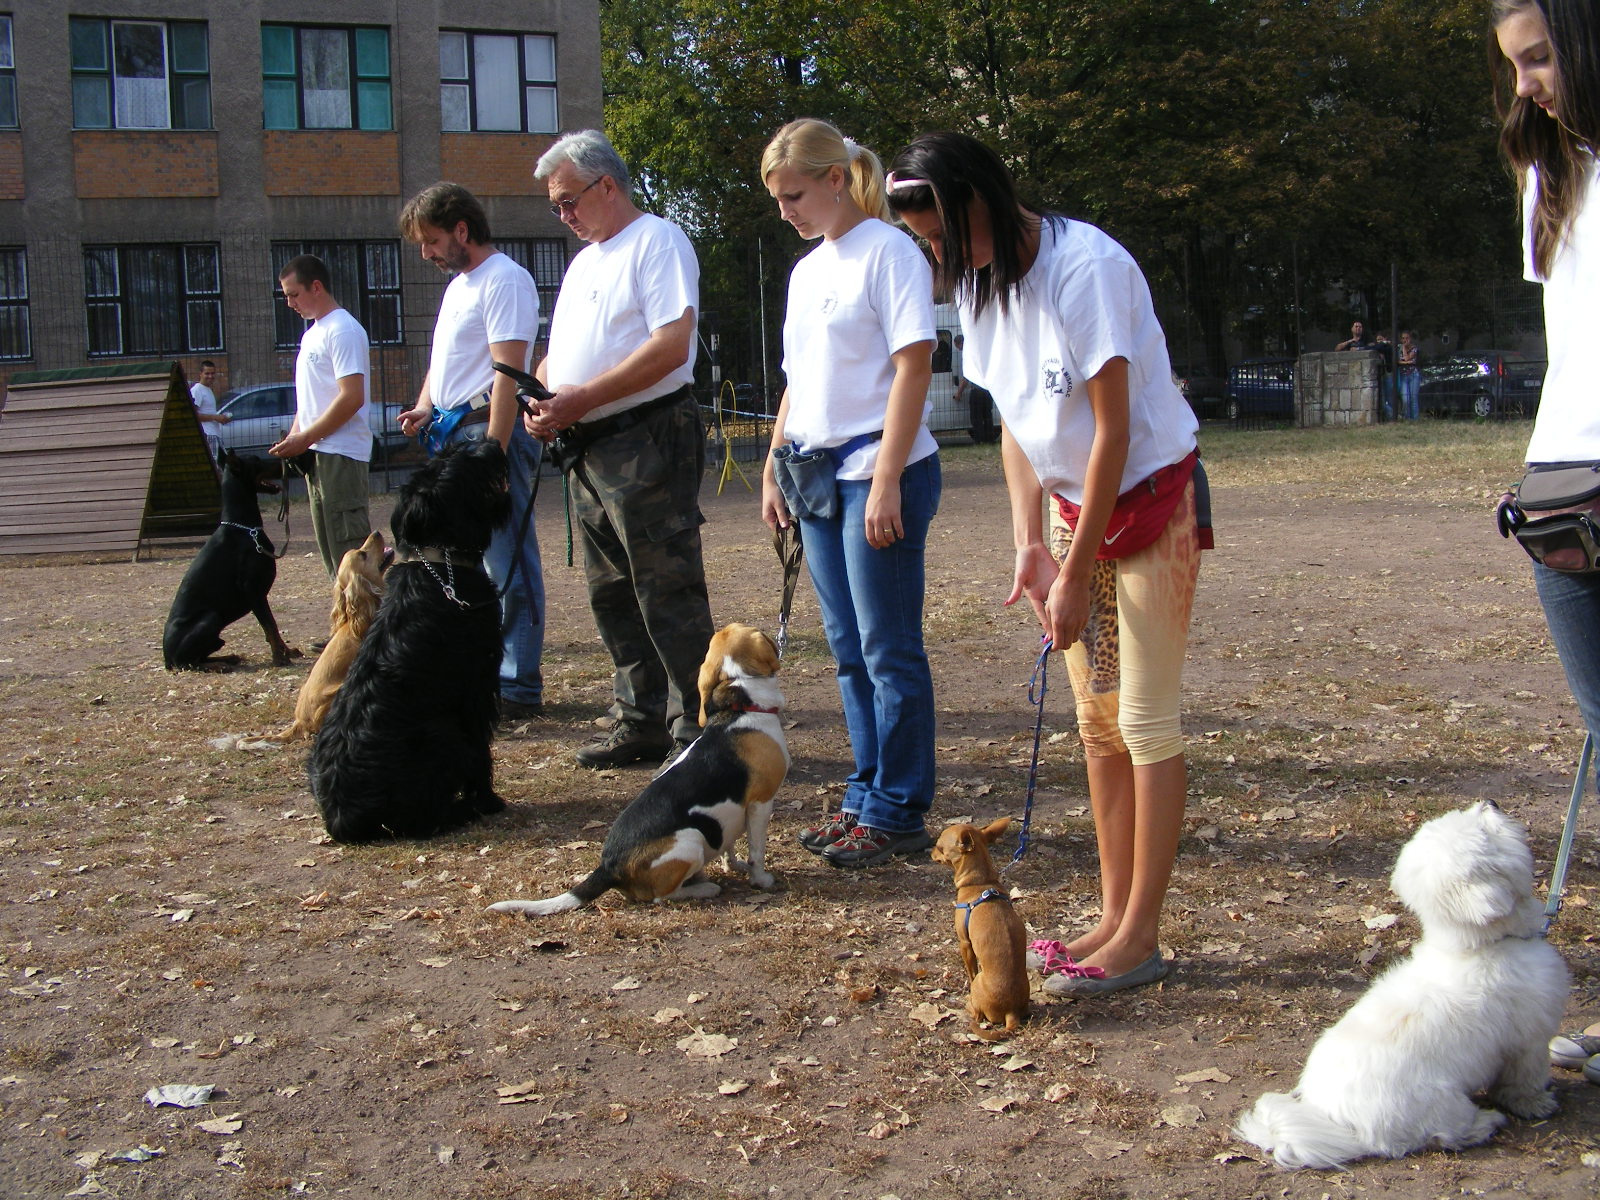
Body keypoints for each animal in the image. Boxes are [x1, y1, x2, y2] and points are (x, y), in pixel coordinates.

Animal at [163, 454, 300, 672]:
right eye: (257, 461)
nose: (285, 463)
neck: (245, 529)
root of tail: (166, 659)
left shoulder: (259, 593)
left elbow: (273, 628)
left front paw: (287, 652)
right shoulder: (252, 589)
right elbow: (270, 626)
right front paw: (279, 658)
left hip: (217, 638)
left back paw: (229, 658)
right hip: (210, 618)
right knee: (188, 663)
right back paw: (220, 664)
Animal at [308, 441, 508, 844]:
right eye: (459, 464)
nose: (492, 444)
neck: (441, 566)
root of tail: (341, 819)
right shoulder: (476, 688)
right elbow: (481, 749)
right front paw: (488, 800)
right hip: (442, 733)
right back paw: (463, 810)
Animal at [1235, 803, 1561, 1171]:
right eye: (1484, 831)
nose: (1488, 802)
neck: (1478, 946)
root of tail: (1348, 1128)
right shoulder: (1528, 1039)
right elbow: (1524, 1080)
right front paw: (1535, 1103)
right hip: (1442, 1102)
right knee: (1444, 1134)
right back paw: (1483, 1124)